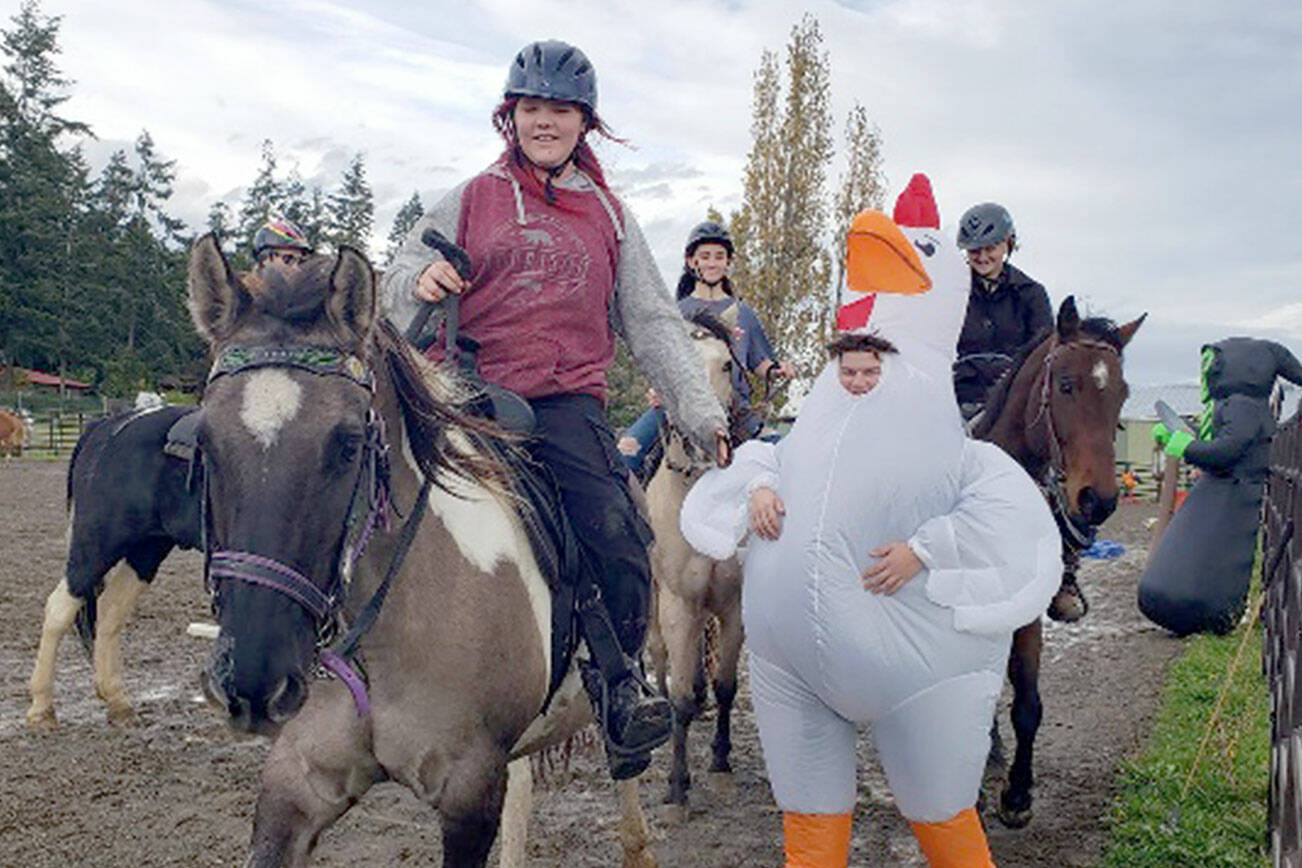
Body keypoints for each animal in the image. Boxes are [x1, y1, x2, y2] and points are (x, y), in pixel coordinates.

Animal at [188, 238, 656, 868]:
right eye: (204, 439)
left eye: (348, 444)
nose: (254, 681)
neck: (384, 637)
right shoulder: (296, 784)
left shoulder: (469, 792)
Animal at [968, 294, 1140, 827]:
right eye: (1066, 385)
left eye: (1123, 393)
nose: (1098, 500)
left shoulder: (1022, 614)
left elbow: (1027, 704)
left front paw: (1017, 795)